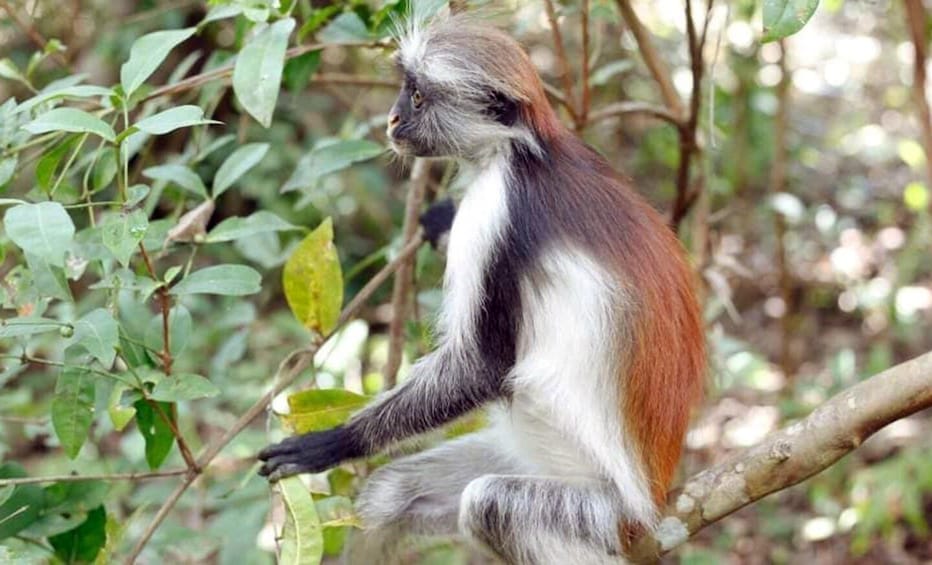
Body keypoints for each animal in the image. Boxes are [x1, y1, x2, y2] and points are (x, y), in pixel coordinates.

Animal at [259, 12, 705, 564]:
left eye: (418, 97)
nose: (391, 120)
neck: (521, 152)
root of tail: (651, 502)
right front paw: (439, 221)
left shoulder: (496, 213)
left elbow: (481, 367)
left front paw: (336, 441)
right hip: (527, 459)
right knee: (395, 494)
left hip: (596, 513)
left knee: (489, 504)